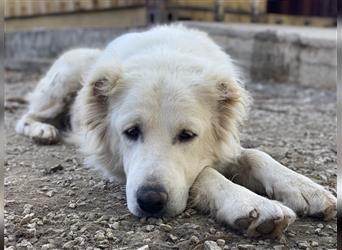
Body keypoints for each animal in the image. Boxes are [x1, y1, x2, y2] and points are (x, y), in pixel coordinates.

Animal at [16, 24, 336, 238]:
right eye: (131, 132)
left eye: (187, 136)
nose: (150, 201)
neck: (164, 55)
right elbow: (205, 174)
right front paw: (250, 204)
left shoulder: (227, 145)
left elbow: (257, 156)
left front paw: (306, 188)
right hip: (62, 82)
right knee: (25, 117)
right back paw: (42, 131)